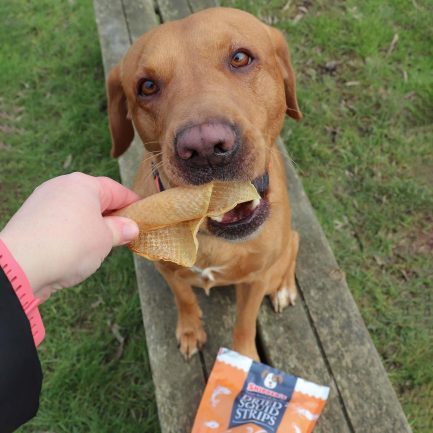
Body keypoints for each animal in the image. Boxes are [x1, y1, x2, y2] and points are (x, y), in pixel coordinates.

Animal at [107, 6, 300, 360]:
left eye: (240, 58)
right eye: (147, 86)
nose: (206, 148)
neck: (208, 234)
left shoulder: (255, 280)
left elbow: (244, 324)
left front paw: (244, 358)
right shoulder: (167, 270)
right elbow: (183, 297)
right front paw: (189, 330)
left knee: (293, 241)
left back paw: (283, 287)